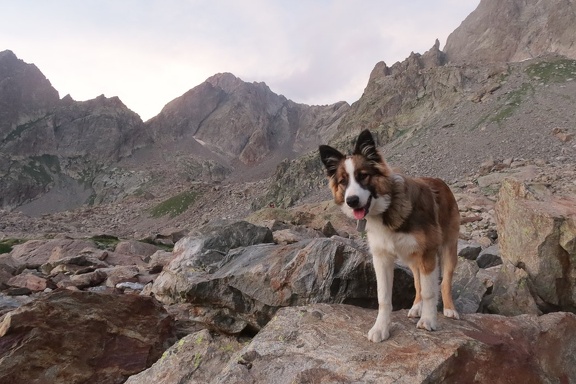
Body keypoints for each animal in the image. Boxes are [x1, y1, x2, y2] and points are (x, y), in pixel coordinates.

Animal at [318, 130, 462, 342]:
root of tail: (440, 181)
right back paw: (416, 306)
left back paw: (449, 309)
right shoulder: (382, 258)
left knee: (444, 281)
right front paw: (380, 328)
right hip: (410, 256)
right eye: (343, 181)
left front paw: (428, 320)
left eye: (363, 176)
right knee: (418, 281)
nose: (352, 201)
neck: (386, 210)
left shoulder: (428, 252)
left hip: (448, 248)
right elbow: (384, 297)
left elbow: (430, 290)